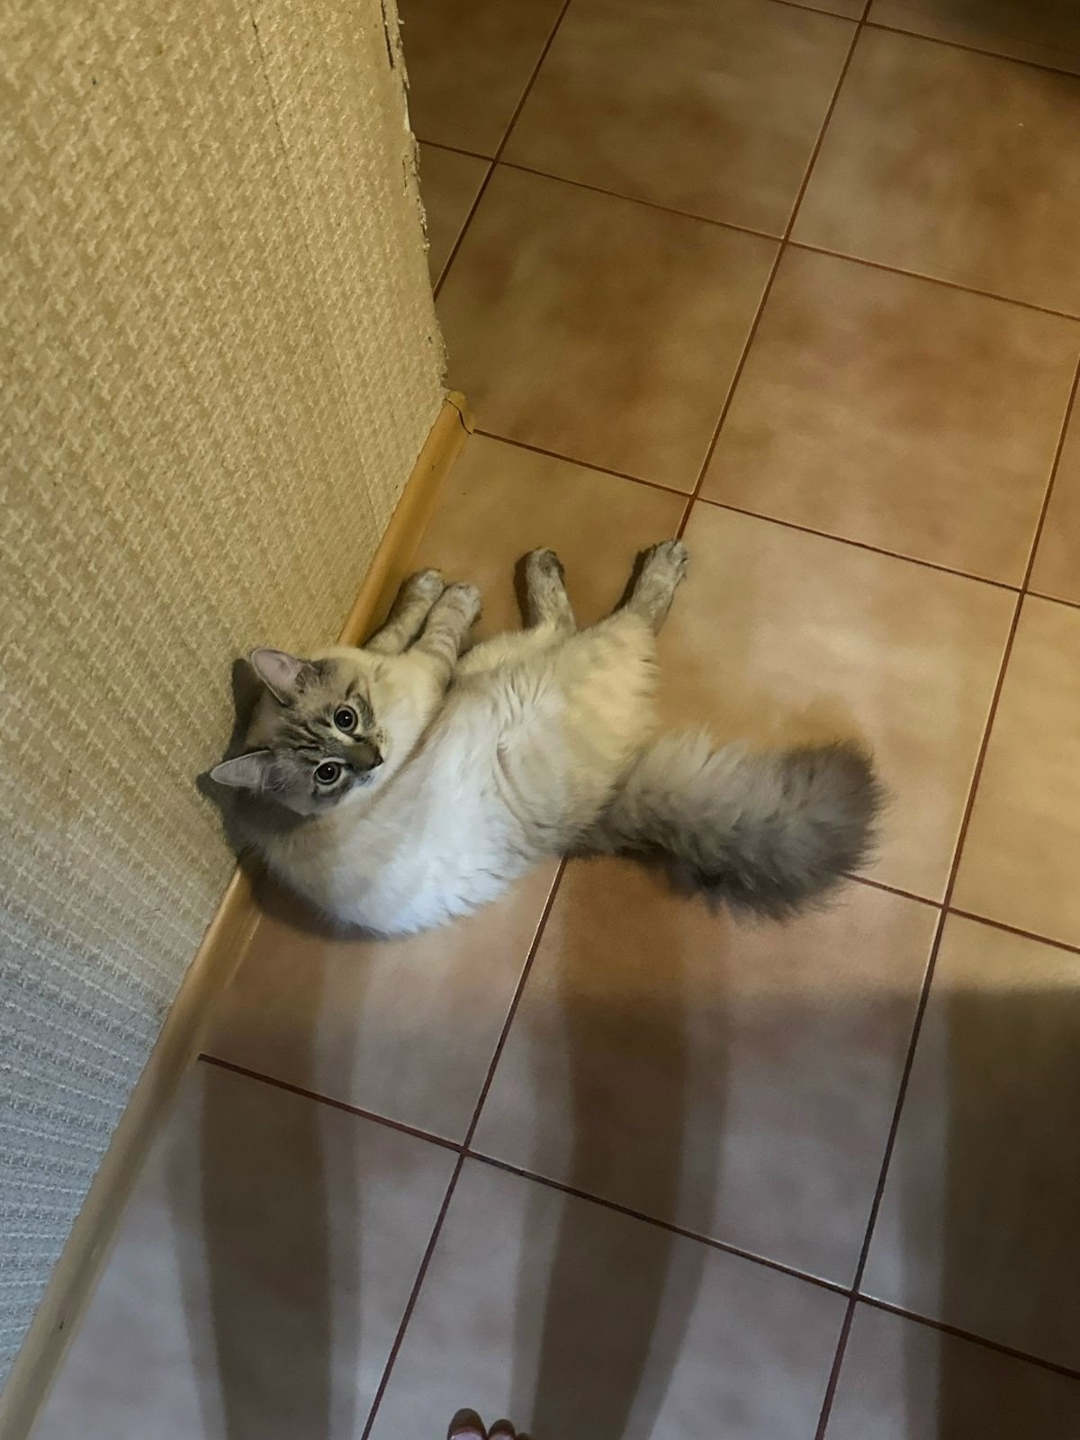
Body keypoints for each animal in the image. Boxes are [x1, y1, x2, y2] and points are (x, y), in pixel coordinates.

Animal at [210, 542, 882, 937]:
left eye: (346, 719)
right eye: (326, 773)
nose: (371, 760)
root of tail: (602, 813)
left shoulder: (392, 661)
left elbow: (398, 623)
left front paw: (426, 584)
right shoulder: (429, 671)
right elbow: (436, 629)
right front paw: (456, 596)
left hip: (490, 662)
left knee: (560, 621)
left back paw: (538, 566)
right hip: (538, 663)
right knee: (620, 617)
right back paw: (625, 564)